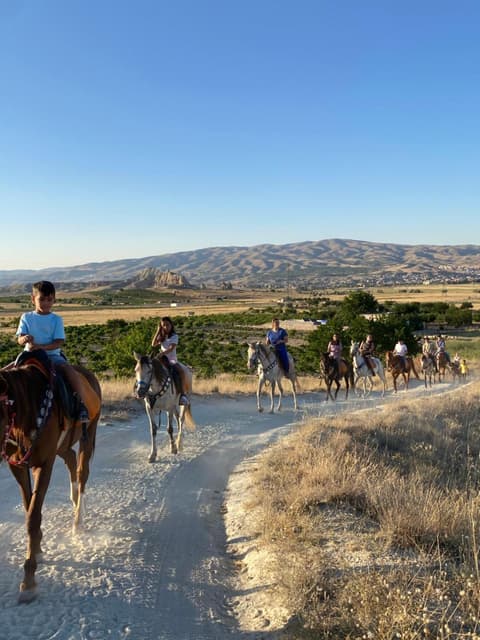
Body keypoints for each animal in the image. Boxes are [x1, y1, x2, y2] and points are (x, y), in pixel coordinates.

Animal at [0, 350, 101, 603]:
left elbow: (32, 516)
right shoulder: (18, 466)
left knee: (82, 472)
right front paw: (37, 548)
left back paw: (78, 521)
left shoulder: (44, 464)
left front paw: (29, 581)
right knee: (71, 459)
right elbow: (28, 507)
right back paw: (74, 502)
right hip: (63, 446)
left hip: (88, 432)